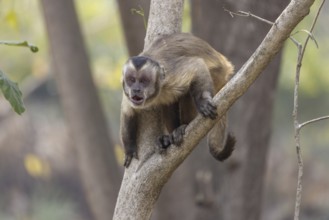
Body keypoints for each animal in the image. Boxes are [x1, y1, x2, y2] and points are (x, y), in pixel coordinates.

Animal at [119, 32, 234, 167]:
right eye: (131, 80)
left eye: (144, 81)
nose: (136, 89)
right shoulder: (127, 94)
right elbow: (128, 112)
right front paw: (129, 148)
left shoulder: (171, 74)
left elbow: (197, 66)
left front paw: (203, 102)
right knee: (168, 102)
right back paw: (168, 139)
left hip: (217, 75)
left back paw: (184, 126)